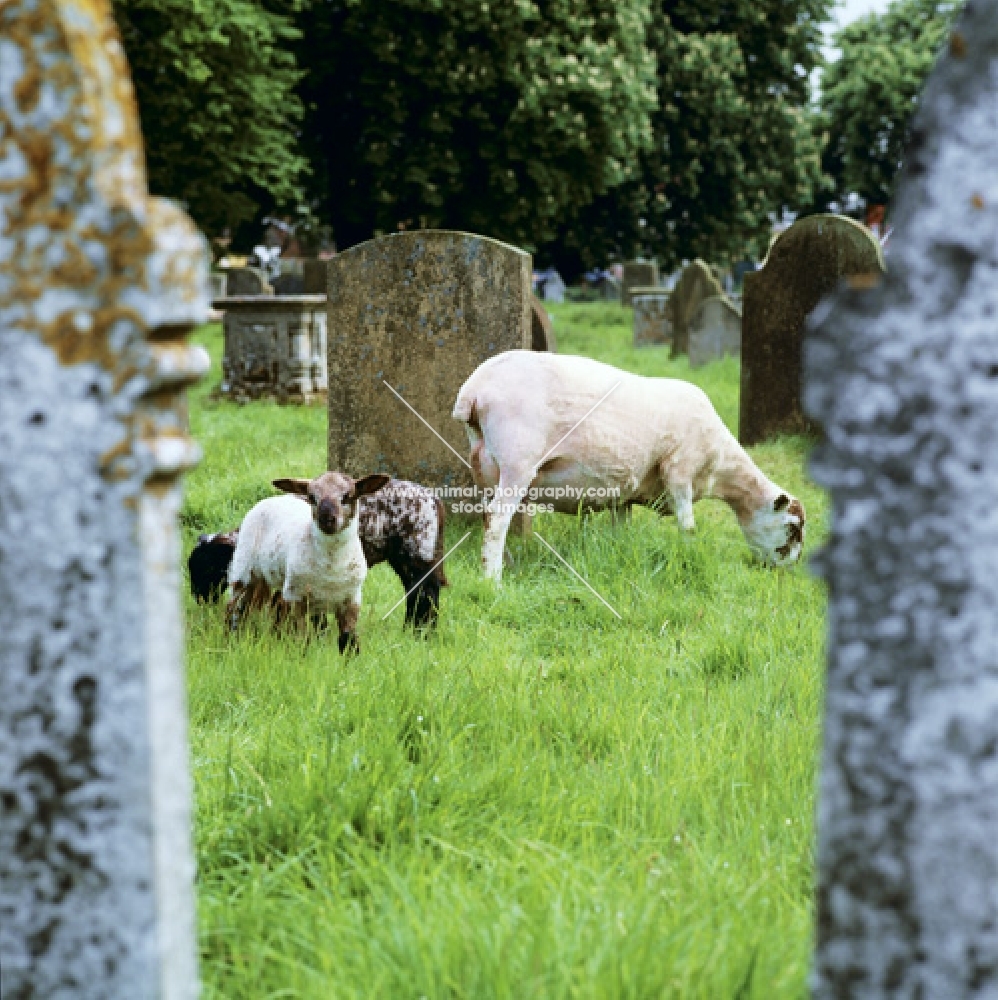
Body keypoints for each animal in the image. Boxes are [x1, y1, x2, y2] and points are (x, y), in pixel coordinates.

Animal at [189, 476, 448, 624]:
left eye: (208, 567)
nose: (198, 597)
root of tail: (433, 499)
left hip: (417, 550)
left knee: (426, 592)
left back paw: (421, 632)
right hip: (405, 556)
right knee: (415, 592)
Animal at [229, 472, 388, 652]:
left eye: (347, 496)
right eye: (312, 497)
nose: (326, 519)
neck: (332, 566)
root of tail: (273, 498)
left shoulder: (352, 599)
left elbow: (349, 641)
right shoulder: (296, 597)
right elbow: (302, 639)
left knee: (274, 606)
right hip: (244, 568)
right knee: (236, 609)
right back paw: (233, 640)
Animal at [454, 352, 804, 584]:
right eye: (792, 528)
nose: (788, 573)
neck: (719, 468)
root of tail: (474, 390)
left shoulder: (624, 494)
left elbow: (621, 529)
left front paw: (618, 554)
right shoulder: (679, 470)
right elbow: (688, 525)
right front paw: (689, 556)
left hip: (483, 464)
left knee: (488, 517)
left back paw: (502, 565)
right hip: (518, 460)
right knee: (498, 519)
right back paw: (493, 581)